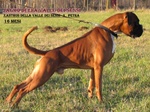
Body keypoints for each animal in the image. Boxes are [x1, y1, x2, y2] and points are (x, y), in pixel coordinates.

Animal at [6, 11, 143, 107]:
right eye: (136, 22)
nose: (142, 28)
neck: (108, 31)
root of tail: (47, 53)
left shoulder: (94, 68)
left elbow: (91, 85)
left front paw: (90, 99)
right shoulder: (99, 67)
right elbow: (99, 86)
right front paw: (101, 102)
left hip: (37, 74)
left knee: (18, 86)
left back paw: (8, 101)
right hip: (42, 77)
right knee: (23, 90)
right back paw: (14, 105)